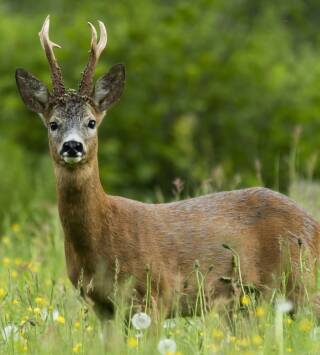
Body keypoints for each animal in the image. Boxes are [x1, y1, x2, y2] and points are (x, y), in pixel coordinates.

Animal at [15, 18, 320, 330]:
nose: (72, 146)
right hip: (246, 302)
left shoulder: (156, 292)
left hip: (302, 280)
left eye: (91, 122)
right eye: (53, 124)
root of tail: (313, 223)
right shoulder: (101, 305)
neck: (100, 242)